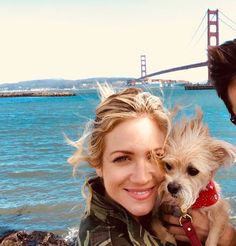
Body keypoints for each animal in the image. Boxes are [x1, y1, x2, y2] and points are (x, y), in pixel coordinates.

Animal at [152, 109, 235, 246]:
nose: (172, 187)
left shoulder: (220, 211)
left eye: (193, 171)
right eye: (168, 166)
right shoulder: (159, 209)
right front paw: (168, 238)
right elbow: (156, 225)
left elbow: (213, 235)